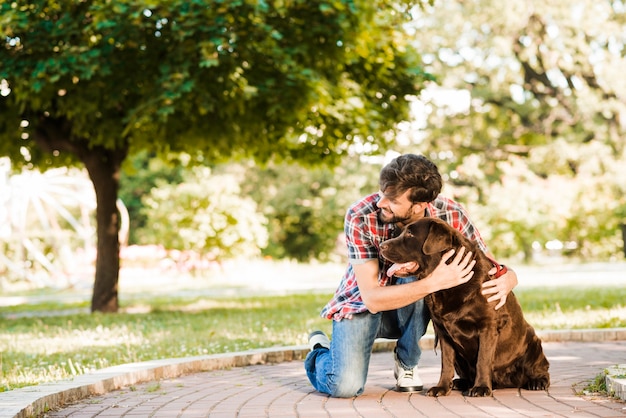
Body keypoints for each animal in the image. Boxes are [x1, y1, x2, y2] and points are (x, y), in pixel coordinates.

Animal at [376, 217, 544, 396]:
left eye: (410, 234)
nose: (381, 246)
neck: (449, 287)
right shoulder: (443, 332)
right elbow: (446, 363)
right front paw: (442, 387)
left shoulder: (488, 327)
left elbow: (483, 360)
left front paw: (481, 387)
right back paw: (460, 383)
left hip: (533, 342)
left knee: (542, 369)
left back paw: (536, 382)